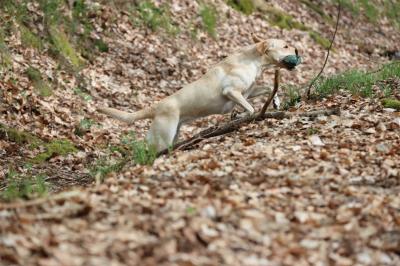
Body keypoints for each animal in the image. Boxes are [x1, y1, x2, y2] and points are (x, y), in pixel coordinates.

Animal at [98, 34, 300, 152]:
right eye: (286, 46)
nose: (298, 51)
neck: (253, 60)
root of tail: (157, 106)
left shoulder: (247, 92)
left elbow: (268, 88)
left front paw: (276, 102)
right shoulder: (231, 91)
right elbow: (250, 109)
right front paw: (241, 116)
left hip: (172, 133)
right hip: (164, 136)